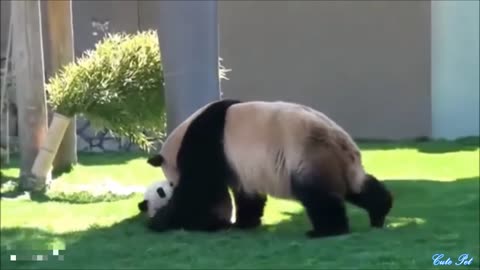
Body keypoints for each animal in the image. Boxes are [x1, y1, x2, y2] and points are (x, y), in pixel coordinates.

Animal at [147, 99, 394, 238]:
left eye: (169, 183)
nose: (171, 186)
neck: (182, 137)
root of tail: (341, 142)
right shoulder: (239, 164)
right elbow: (246, 193)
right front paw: (245, 223)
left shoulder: (208, 144)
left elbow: (198, 191)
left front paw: (161, 221)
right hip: (339, 163)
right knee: (359, 187)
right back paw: (379, 213)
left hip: (308, 155)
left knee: (319, 197)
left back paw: (325, 231)